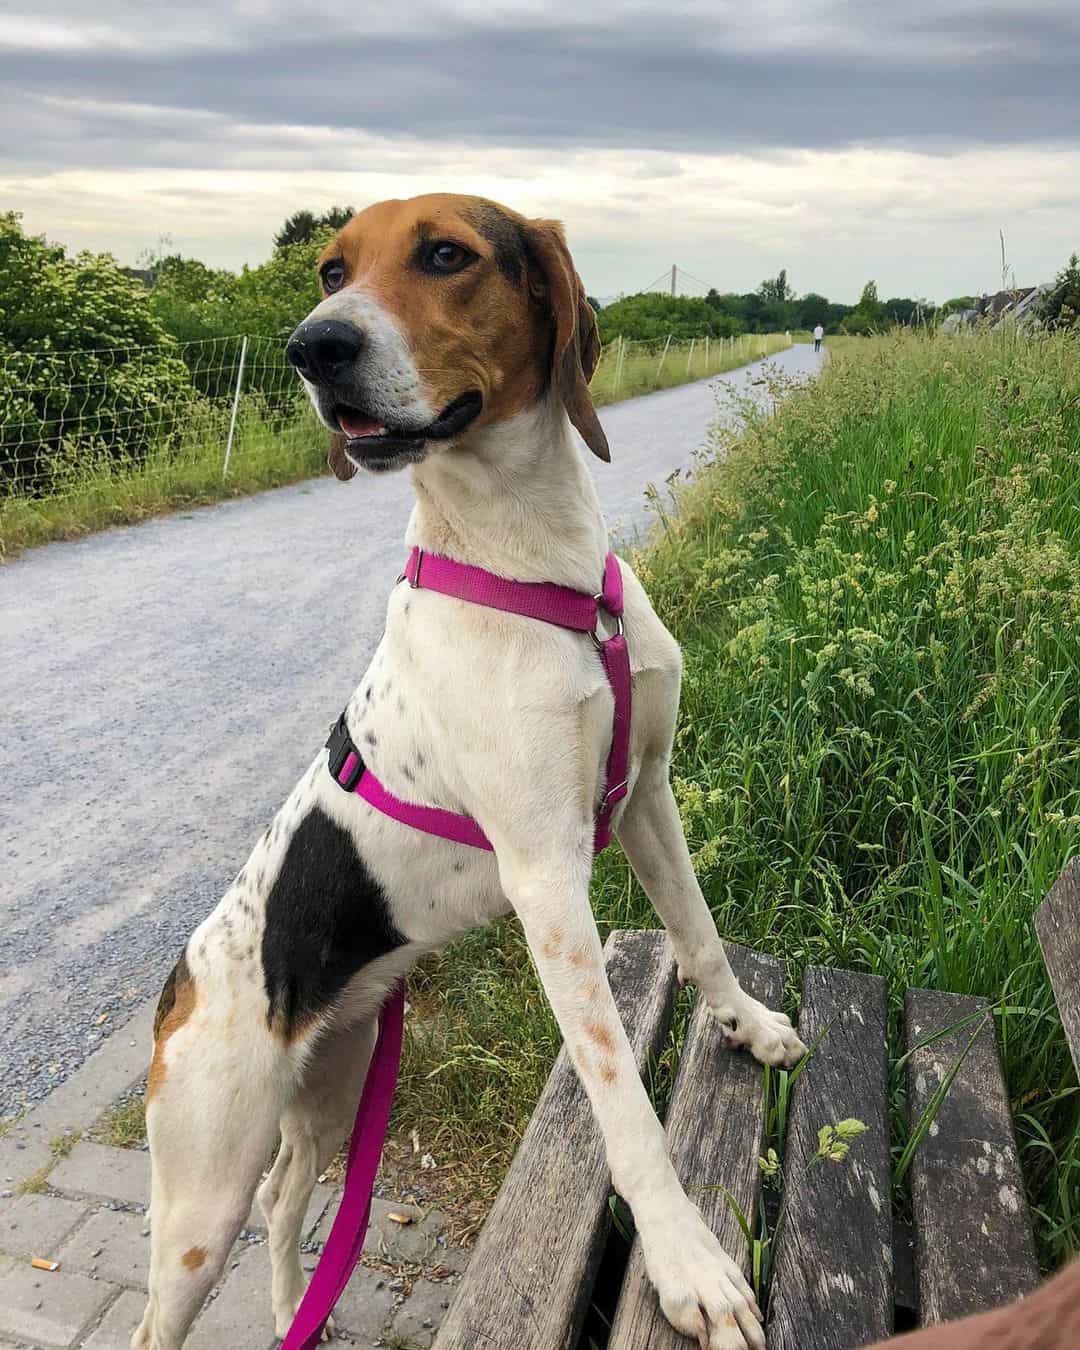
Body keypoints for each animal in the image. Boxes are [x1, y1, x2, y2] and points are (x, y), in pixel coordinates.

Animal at [135, 193, 804, 1350]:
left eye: (447, 254)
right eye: (330, 269)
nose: (312, 346)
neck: (534, 560)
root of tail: (179, 976)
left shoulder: (647, 795)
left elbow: (701, 934)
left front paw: (747, 1026)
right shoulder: (547, 879)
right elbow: (622, 1098)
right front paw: (687, 1264)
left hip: (335, 1089)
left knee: (284, 1200)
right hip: (197, 1198)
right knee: (174, 1293)